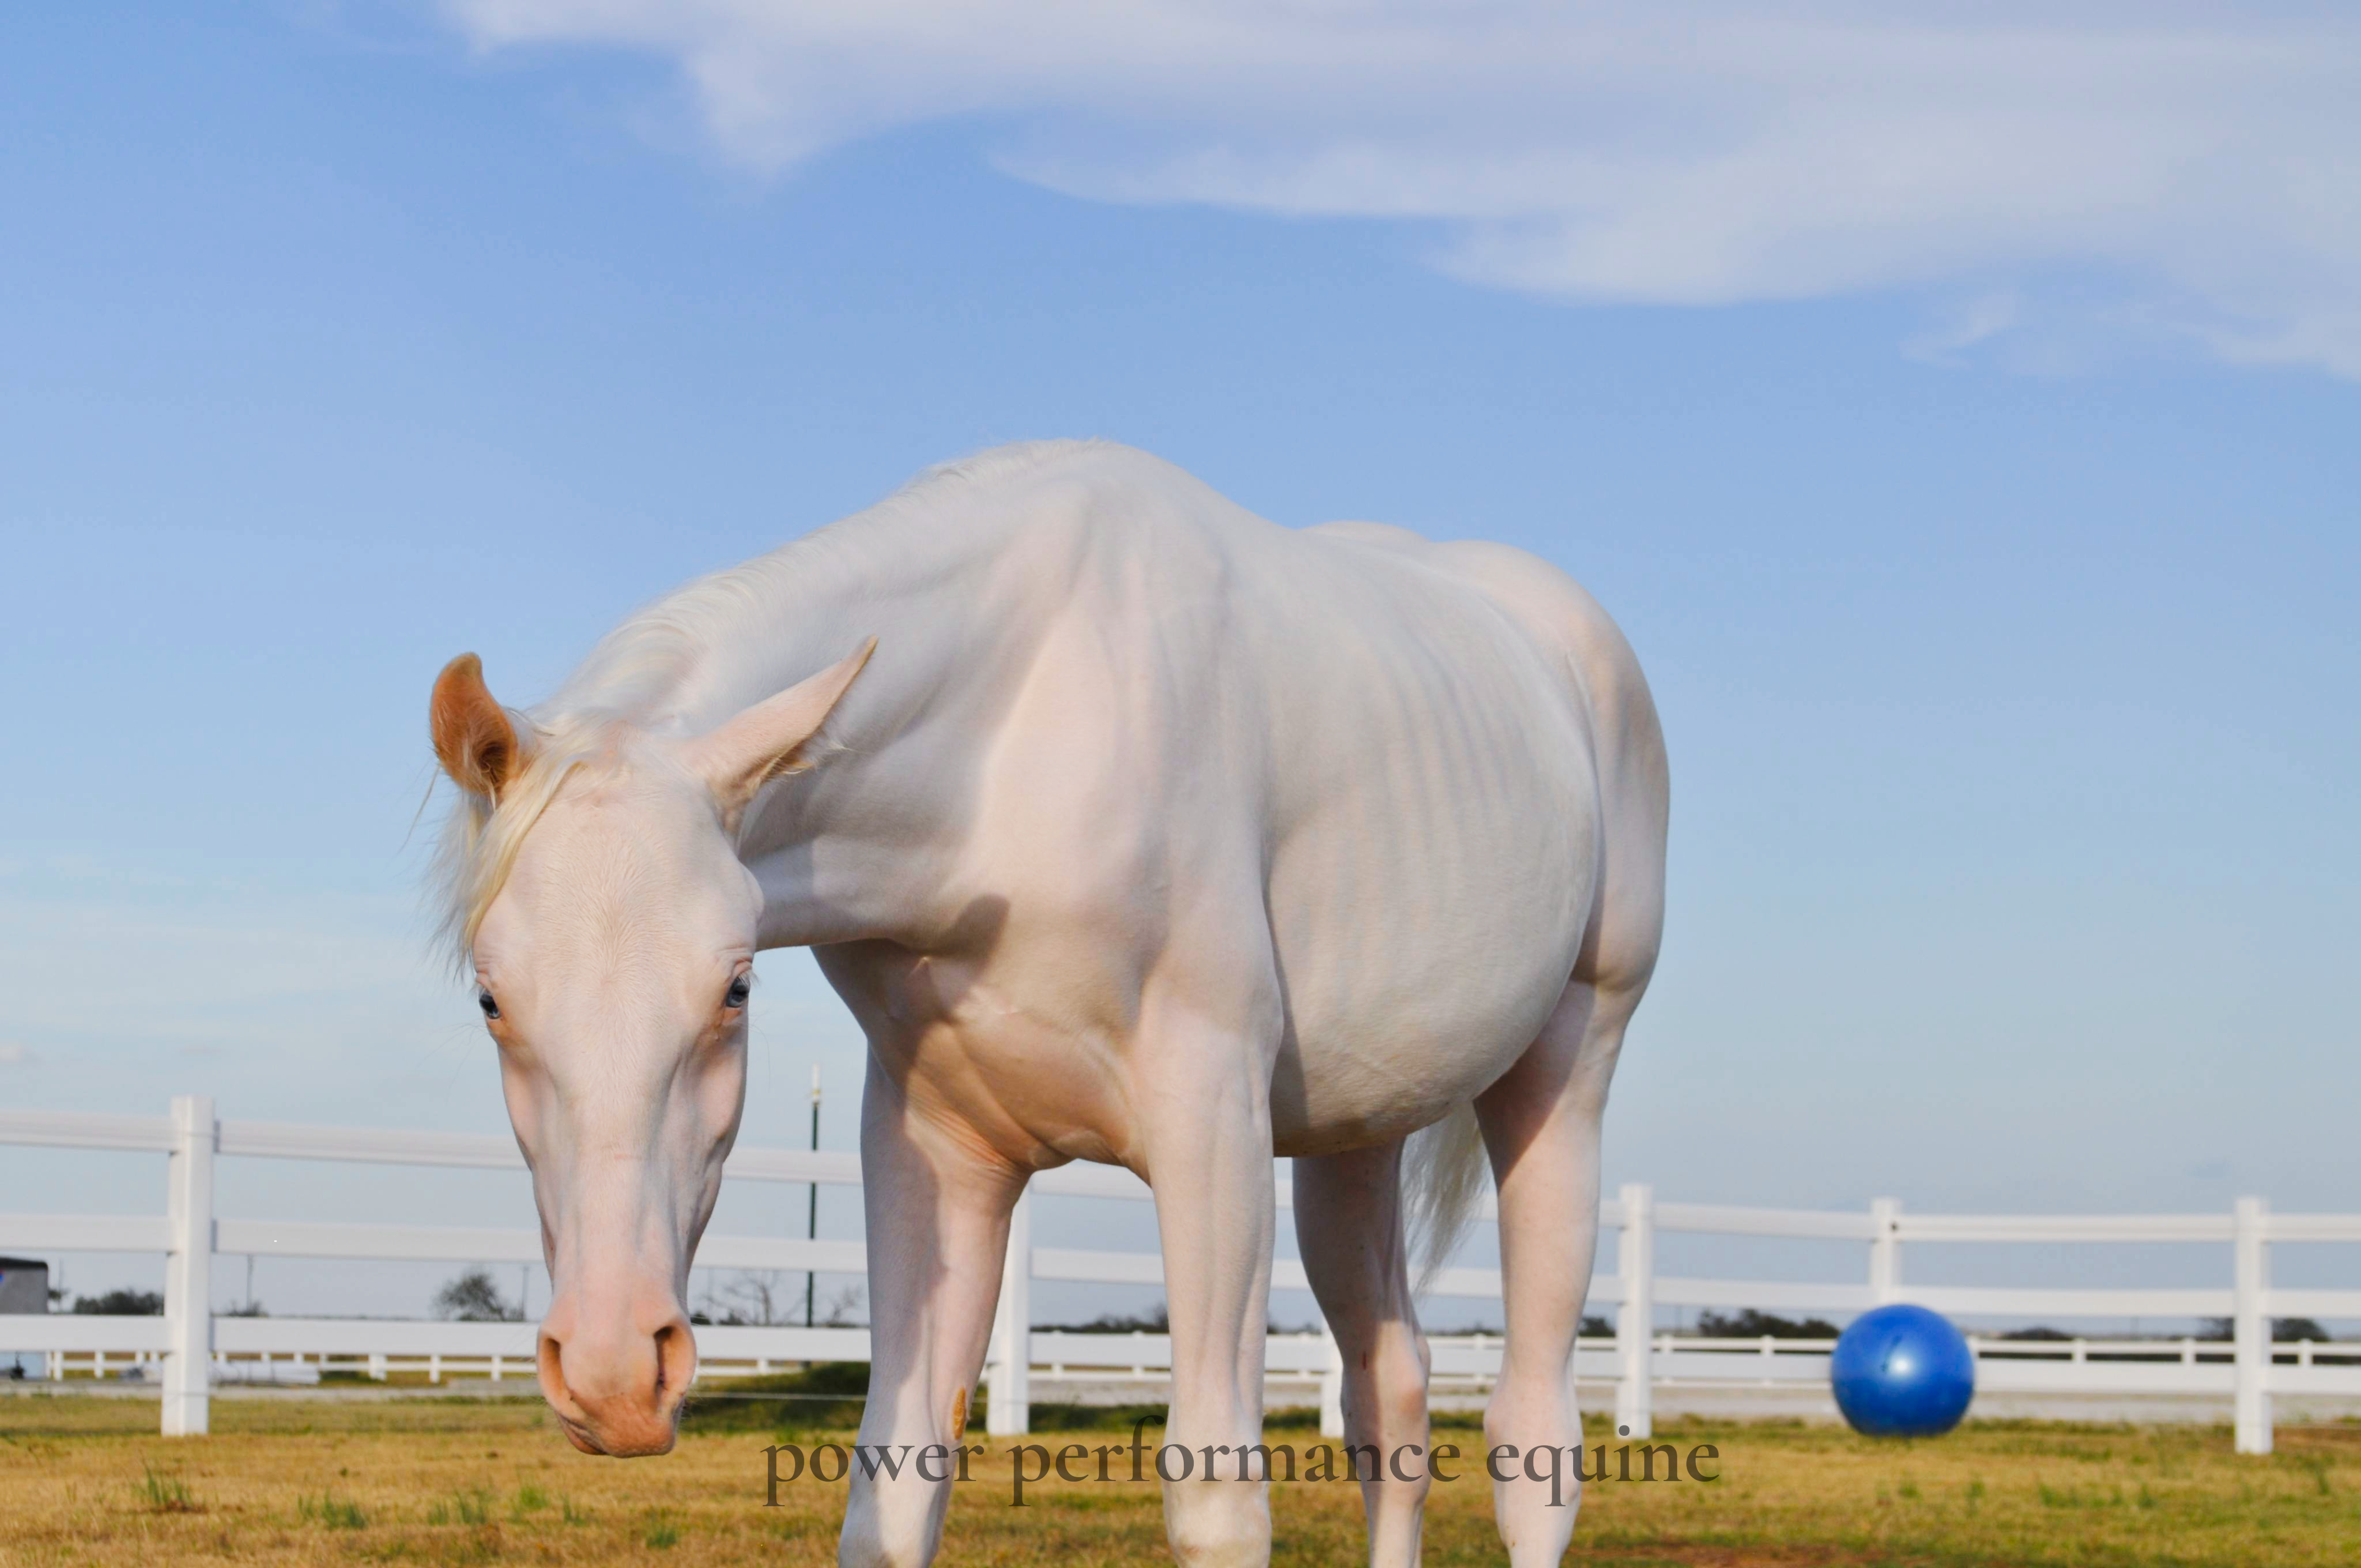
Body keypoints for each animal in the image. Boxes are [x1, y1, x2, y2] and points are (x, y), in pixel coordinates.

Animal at [427, 440, 1667, 1568]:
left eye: (733, 987)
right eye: (490, 996)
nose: (615, 1374)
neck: (1008, 755)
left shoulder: (1212, 1134)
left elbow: (1217, 1499)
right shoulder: (939, 1150)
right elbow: (895, 1487)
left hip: (1565, 1074)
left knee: (1531, 1439)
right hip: (1354, 1135)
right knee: (1390, 1403)